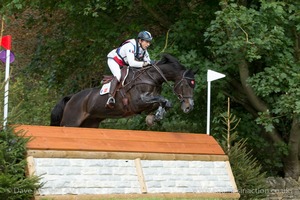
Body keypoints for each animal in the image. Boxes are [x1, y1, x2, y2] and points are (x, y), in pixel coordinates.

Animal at [50, 53, 197, 128]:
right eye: (186, 85)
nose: (189, 107)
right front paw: (156, 117)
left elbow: (165, 103)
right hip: (71, 122)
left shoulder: (149, 103)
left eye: (193, 85)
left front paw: (155, 117)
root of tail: (72, 98)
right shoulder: (138, 102)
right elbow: (163, 100)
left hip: (90, 123)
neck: (151, 78)